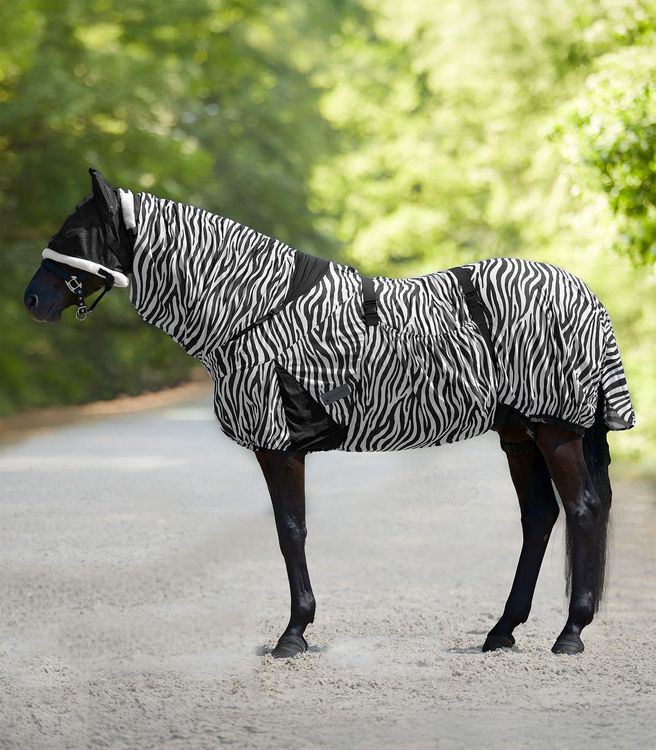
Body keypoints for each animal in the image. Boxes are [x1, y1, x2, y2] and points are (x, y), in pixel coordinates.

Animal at [24, 168, 635, 657]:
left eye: (73, 236)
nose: (32, 301)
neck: (253, 310)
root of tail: (585, 294)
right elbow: (290, 531)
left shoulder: (278, 445)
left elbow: (290, 531)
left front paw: (293, 635)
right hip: (519, 434)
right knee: (540, 517)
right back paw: (501, 631)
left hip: (555, 430)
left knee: (582, 510)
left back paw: (569, 634)